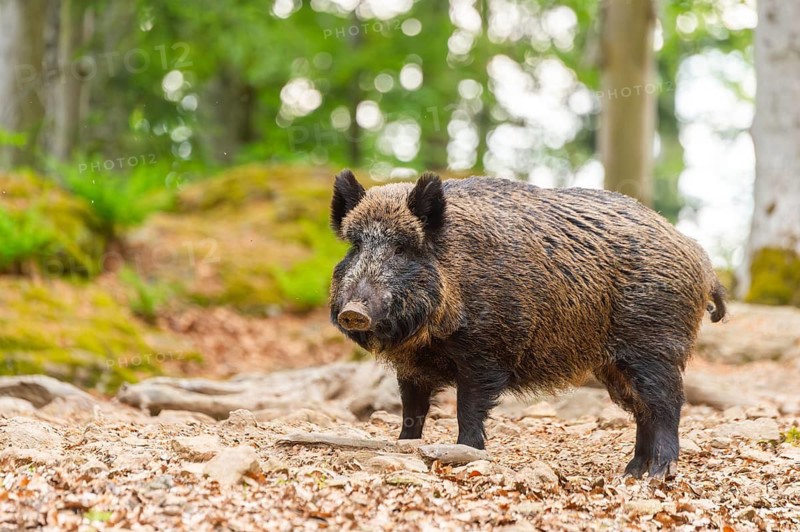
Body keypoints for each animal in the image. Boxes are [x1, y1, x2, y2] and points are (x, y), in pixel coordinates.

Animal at [329, 169, 726, 478]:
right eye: (356, 245)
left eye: (401, 248)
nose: (353, 311)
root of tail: (703, 262)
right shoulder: (411, 368)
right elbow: (412, 412)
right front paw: (403, 447)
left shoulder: (486, 353)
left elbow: (468, 409)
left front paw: (466, 454)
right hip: (615, 367)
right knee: (643, 411)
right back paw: (632, 472)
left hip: (656, 348)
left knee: (667, 405)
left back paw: (658, 474)